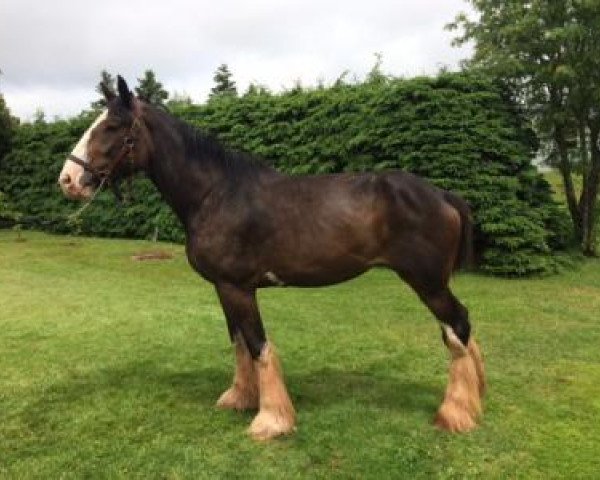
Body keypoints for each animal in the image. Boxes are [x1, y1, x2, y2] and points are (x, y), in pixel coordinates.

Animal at [58, 77, 486, 440]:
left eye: (113, 127)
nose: (68, 180)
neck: (215, 193)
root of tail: (443, 194)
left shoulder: (238, 288)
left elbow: (258, 346)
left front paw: (271, 421)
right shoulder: (225, 288)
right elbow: (239, 344)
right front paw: (239, 399)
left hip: (428, 283)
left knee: (458, 327)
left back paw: (455, 413)